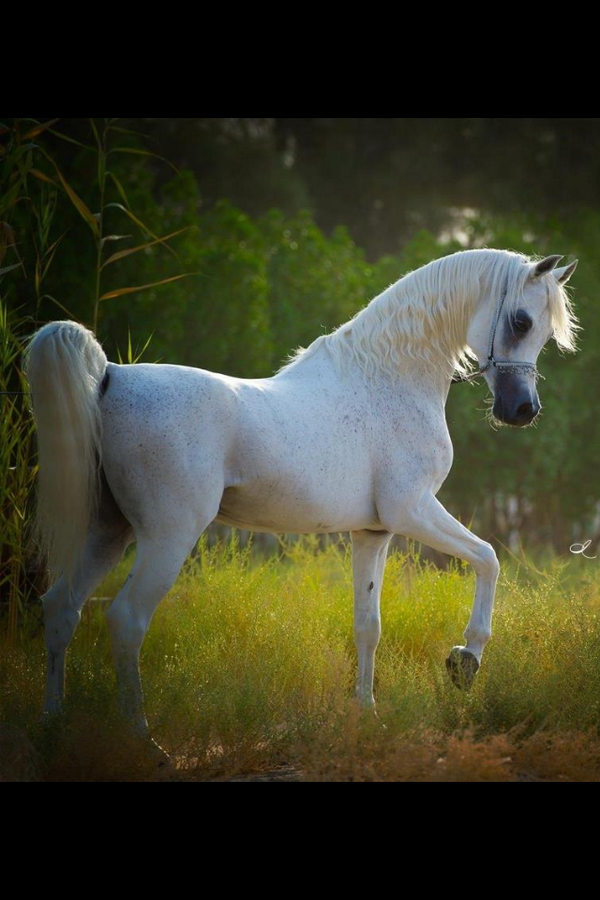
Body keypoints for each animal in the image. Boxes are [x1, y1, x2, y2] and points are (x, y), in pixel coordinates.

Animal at [25, 248, 580, 740]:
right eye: (521, 322)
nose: (522, 411)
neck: (387, 379)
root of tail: (110, 379)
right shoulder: (413, 511)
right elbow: (488, 558)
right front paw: (465, 662)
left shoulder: (374, 532)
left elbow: (368, 625)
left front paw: (368, 713)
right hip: (167, 537)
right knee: (126, 620)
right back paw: (144, 742)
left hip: (108, 530)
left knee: (61, 609)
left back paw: (52, 723)